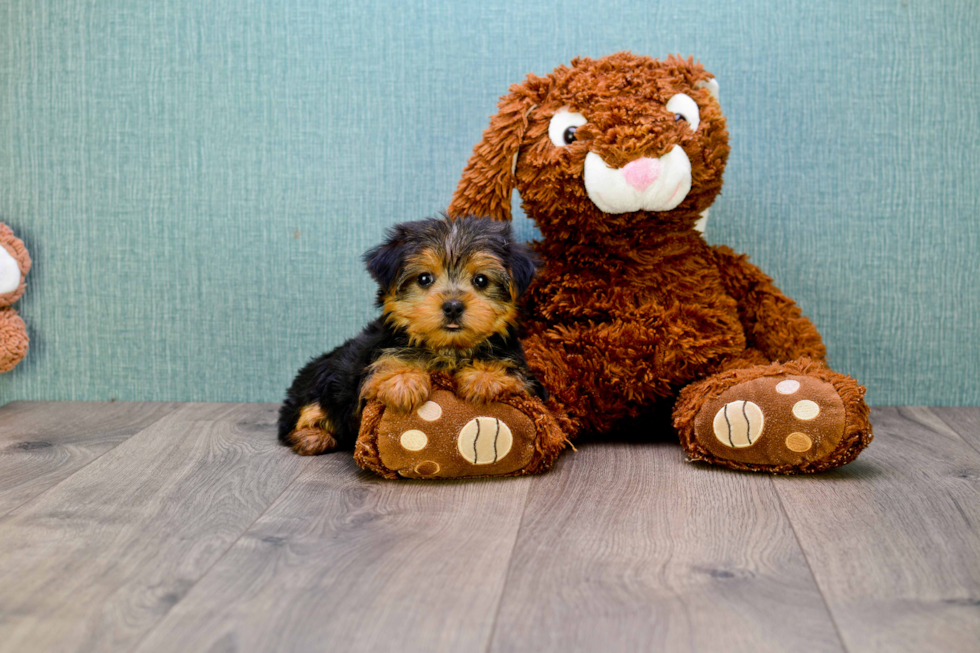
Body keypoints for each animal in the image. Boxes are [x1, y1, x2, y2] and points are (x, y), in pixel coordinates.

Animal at [280, 214, 548, 454]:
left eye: (481, 280)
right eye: (424, 278)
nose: (453, 306)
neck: (447, 349)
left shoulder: (527, 377)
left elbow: (511, 371)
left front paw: (484, 377)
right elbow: (386, 364)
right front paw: (403, 381)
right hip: (320, 382)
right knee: (300, 416)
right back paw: (312, 436)